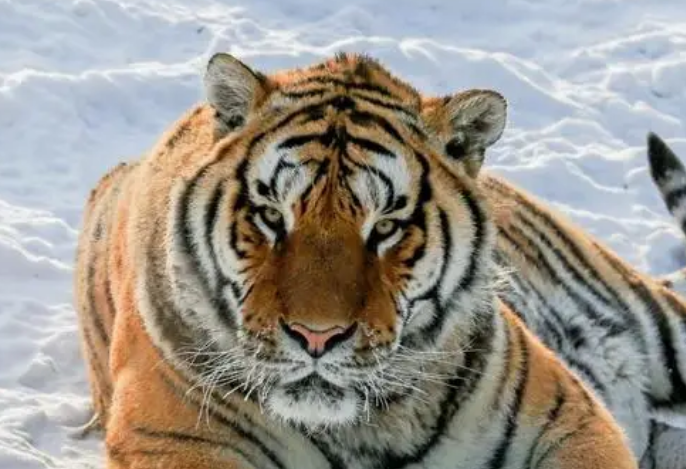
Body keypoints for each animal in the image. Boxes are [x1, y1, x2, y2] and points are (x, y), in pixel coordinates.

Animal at [75, 52, 639, 469]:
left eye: (386, 226)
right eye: (271, 216)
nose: (316, 337)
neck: (368, 431)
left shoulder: (570, 418)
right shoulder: (171, 435)